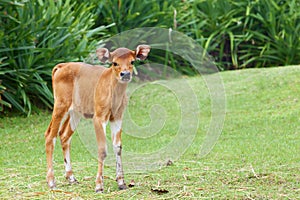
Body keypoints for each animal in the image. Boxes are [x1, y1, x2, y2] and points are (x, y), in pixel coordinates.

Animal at [44, 45, 150, 192]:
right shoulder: (99, 116)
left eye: (132, 61)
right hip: (60, 104)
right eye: (114, 63)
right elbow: (102, 150)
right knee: (50, 135)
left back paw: (71, 178)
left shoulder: (117, 116)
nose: (125, 74)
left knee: (64, 135)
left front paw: (121, 182)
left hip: (75, 111)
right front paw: (99, 185)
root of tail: (60, 67)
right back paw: (51, 182)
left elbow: (118, 147)